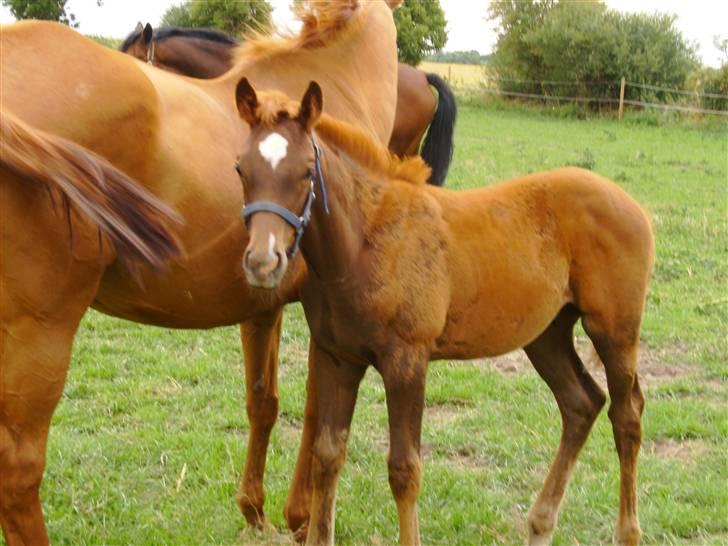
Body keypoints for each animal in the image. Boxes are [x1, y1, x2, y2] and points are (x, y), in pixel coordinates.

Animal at [0, 2, 400, 540]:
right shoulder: (325, 318)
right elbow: (318, 417)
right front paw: (300, 519)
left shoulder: (263, 304)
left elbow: (264, 403)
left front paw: (254, 510)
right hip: (40, 332)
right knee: (19, 470)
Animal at [236, 77, 656, 544]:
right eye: (241, 170)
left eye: (306, 172)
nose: (262, 262)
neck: (366, 241)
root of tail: (635, 206)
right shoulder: (337, 357)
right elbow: (327, 455)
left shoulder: (407, 361)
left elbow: (404, 470)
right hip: (545, 334)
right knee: (581, 403)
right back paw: (540, 525)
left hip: (614, 330)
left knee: (627, 415)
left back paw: (627, 532)